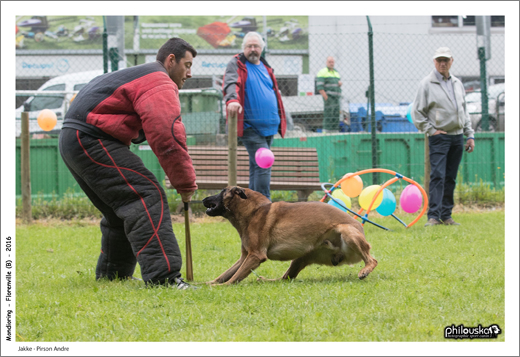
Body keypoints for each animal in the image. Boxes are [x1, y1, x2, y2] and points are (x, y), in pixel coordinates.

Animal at [201, 186, 376, 284]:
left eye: (222, 192)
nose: (203, 198)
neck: (253, 211)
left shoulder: (256, 256)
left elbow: (233, 278)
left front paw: (220, 287)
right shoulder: (245, 256)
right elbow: (226, 274)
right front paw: (206, 283)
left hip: (346, 231)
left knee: (372, 260)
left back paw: (365, 270)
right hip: (300, 258)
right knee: (286, 278)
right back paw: (266, 280)